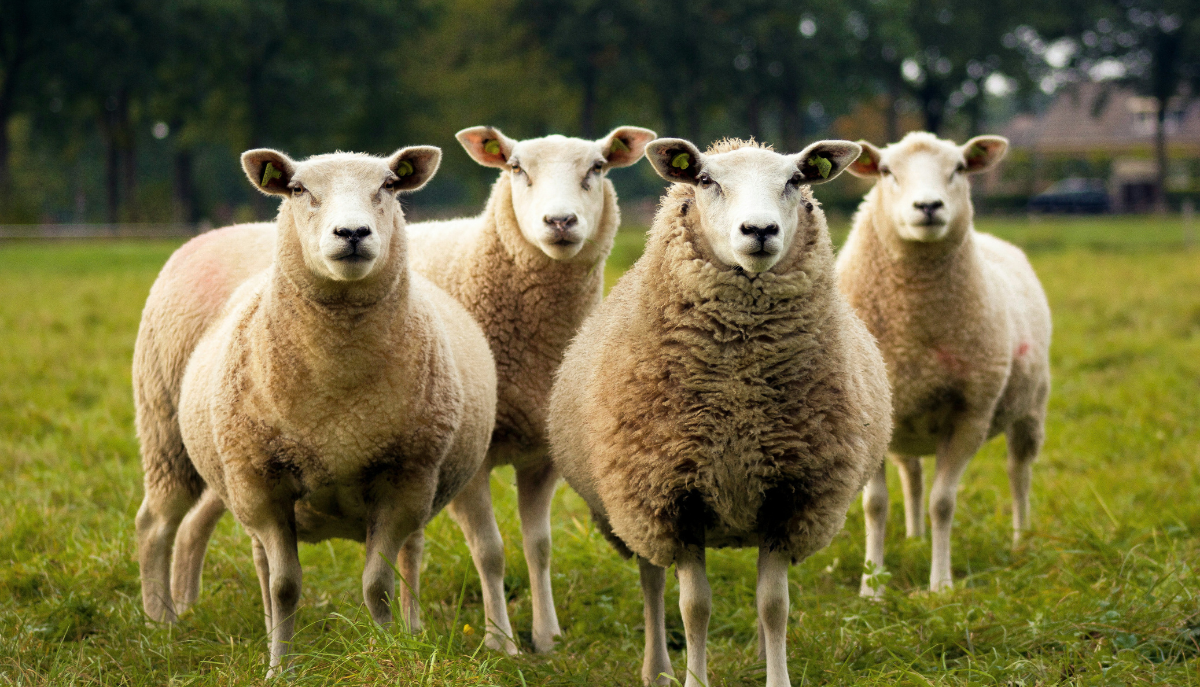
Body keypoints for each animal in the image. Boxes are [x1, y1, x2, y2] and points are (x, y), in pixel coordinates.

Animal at [137, 145, 498, 674]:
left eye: (389, 185)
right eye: (298, 189)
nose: (352, 233)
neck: (338, 398)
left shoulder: (404, 480)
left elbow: (378, 584)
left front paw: (388, 652)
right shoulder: (261, 482)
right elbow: (285, 586)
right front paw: (279, 668)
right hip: (167, 435)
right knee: (157, 525)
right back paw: (160, 624)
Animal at [402, 125, 656, 653]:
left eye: (598, 167)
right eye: (516, 168)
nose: (560, 221)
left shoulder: (543, 454)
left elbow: (539, 547)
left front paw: (546, 637)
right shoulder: (472, 458)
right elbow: (490, 551)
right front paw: (501, 643)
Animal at [548, 137, 892, 687]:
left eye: (797, 180)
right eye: (706, 181)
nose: (760, 231)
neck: (739, 394)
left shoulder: (789, 496)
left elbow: (774, 605)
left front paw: (777, 677)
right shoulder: (672, 497)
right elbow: (694, 608)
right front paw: (693, 678)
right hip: (634, 511)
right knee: (651, 582)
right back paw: (657, 669)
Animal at [837, 131, 1052, 594]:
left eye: (959, 168)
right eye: (886, 171)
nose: (929, 207)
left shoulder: (971, 414)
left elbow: (943, 503)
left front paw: (941, 585)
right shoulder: (868, 419)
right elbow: (875, 505)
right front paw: (872, 587)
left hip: (1030, 408)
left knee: (1019, 472)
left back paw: (1021, 538)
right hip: (904, 423)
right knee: (913, 475)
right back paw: (915, 538)